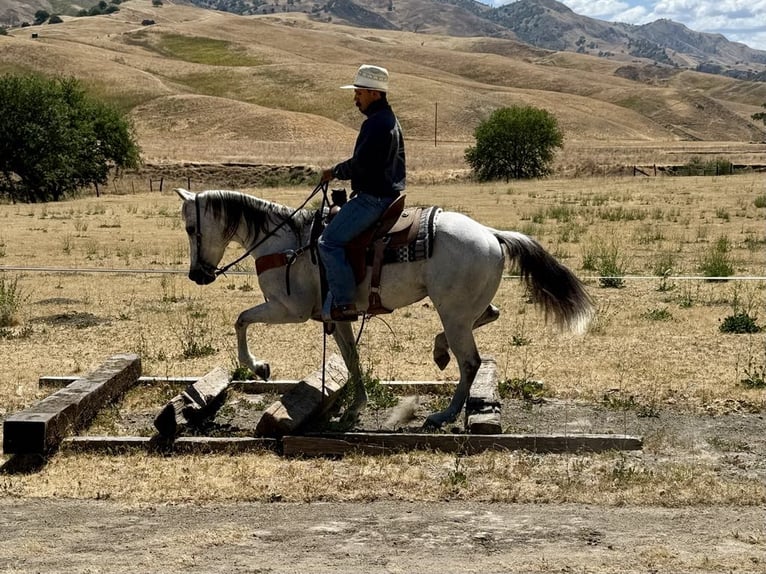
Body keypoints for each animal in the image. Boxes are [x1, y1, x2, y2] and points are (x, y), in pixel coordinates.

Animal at [175, 187, 594, 428]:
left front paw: (258, 366)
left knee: (471, 362)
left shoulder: (288, 309)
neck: (285, 242)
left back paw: (444, 413)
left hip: (453, 311)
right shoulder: (336, 316)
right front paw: (354, 406)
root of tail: (491, 234)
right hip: (460, 309)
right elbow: (351, 357)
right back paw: (439, 351)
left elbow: (241, 320)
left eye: (192, 229)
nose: (197, 275)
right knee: (489, 315)